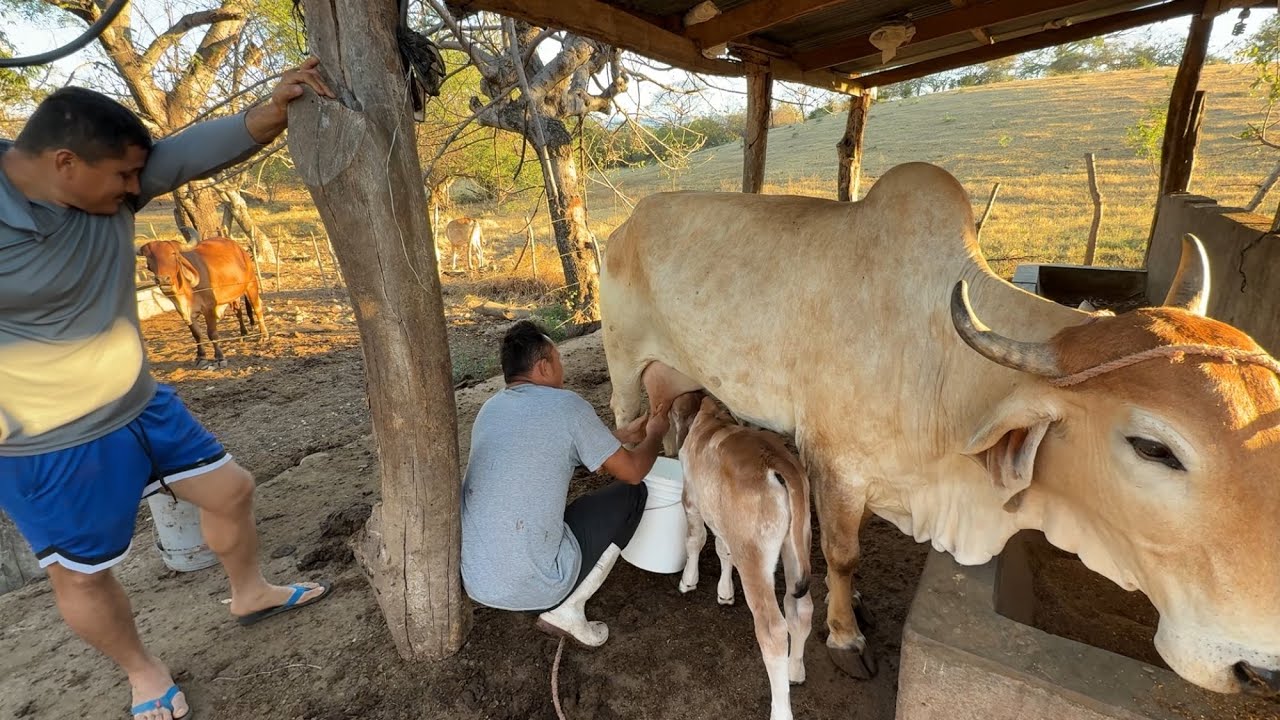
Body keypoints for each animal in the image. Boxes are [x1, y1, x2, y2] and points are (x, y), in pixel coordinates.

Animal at [138, 237, 268, 368]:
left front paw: (219, 358)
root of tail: (240, 249)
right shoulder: (185, 313)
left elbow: (212, 333)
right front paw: (201, 357)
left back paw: (263, 335)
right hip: (233, 295)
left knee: (257, 308)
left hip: (251, 285)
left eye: (173, 254)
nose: (163, 279)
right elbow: (197, 334)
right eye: (149, 258)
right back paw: (243, 334)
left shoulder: (209, 308)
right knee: (238, 312)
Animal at [666, 389, 813, 720]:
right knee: (802, 609)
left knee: (773, 630)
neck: (712, 419)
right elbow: (723, 550)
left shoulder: (691, 499)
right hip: (798, 544)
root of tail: (778, 464)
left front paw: (688, 581)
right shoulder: (723, 519)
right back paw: (796, 671)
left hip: (754, 556)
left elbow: (695, 539)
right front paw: (725, 592)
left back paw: (780, 709)